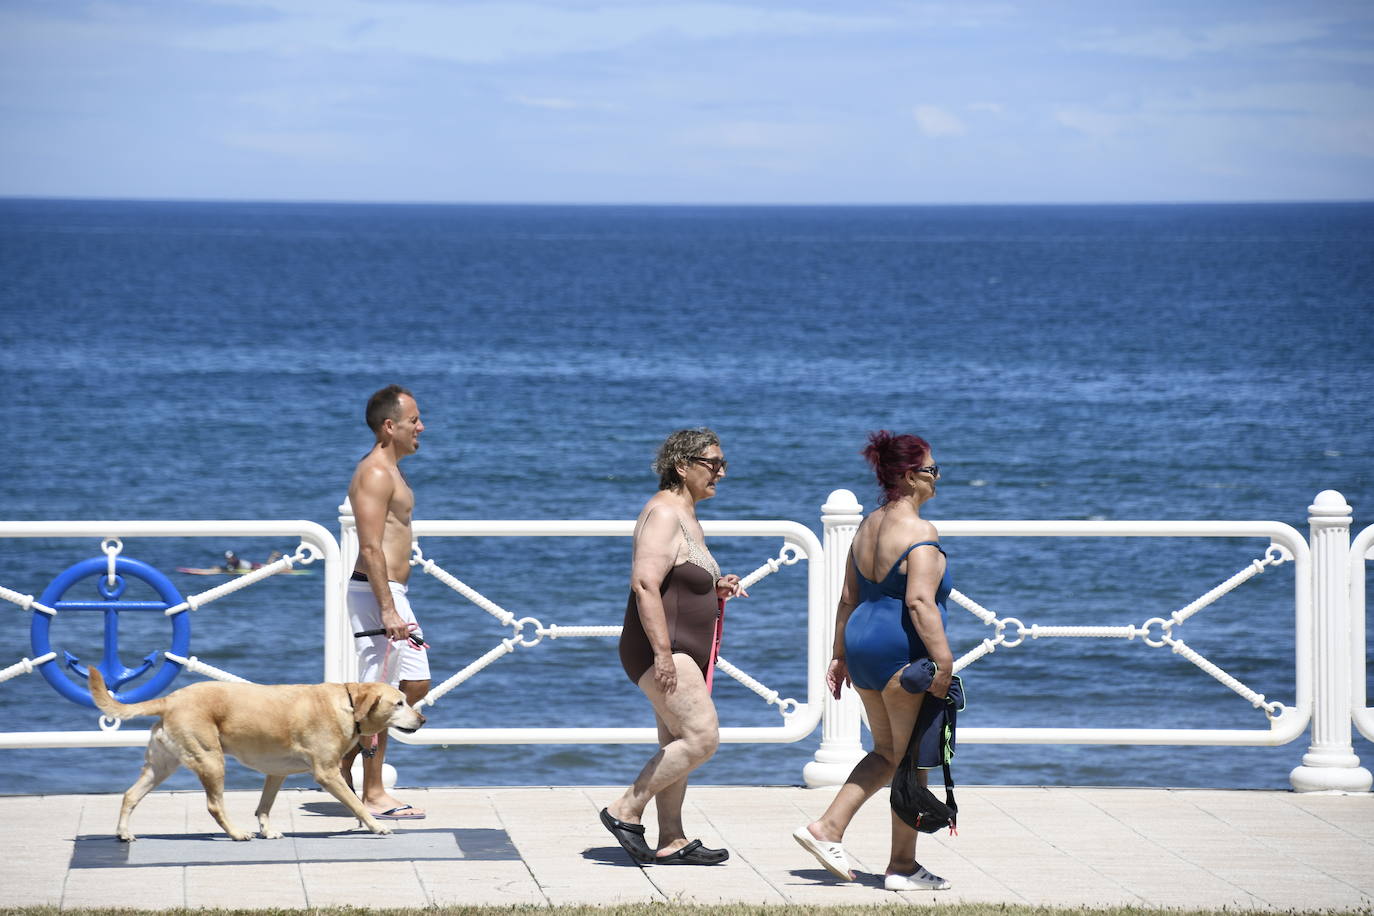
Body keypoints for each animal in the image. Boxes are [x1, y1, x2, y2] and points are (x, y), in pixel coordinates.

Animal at [88, 670, 420, 840]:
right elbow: (356, 803)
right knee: (214, 805)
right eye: (399, 703)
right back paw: (236, 833)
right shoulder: (328, 773)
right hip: (211, 759)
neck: (349, 704)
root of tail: (170, 699)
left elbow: (264, 806)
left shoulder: (276, 773)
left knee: (130, 795)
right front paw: (377, 826)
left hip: (161, 766)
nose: (423, 719)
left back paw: (123, 833)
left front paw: (267, 831)